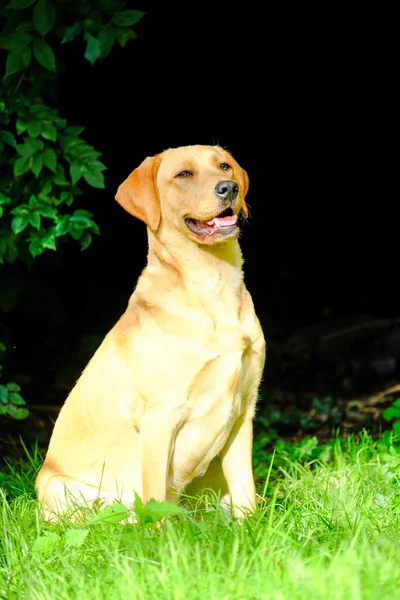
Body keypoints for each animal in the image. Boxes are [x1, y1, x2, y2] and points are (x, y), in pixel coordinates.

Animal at [34, 145, 266, 520]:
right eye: (183, 174)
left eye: (224, 166)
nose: (228, 188)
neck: (213, 285)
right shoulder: (160, 416)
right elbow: (156, 500)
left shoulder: (244, 409)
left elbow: (246, 491)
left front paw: (249, 529)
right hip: (58, 487)